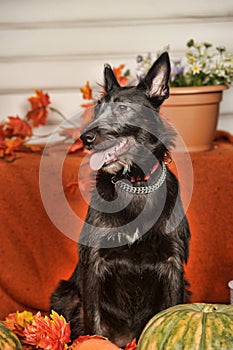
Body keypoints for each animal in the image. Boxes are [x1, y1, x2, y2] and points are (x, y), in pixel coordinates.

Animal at [50, 51, 190, 348]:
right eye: (96, 110)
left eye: (123, 108)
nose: (86, 138)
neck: (135, 184)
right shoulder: (94, 263)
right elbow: (93, 320)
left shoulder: (173, 266)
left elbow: (173, 310)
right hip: (65, 294)